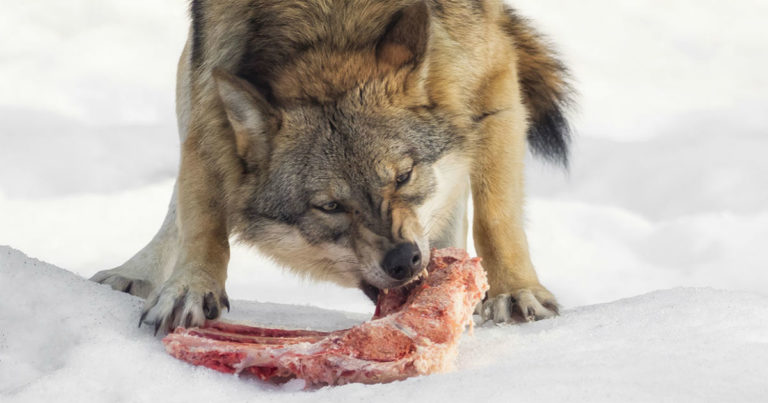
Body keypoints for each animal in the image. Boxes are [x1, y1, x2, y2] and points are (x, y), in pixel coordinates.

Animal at [91, 0, 571, 333]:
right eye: (330, 207)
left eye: (403, 176)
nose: (405, 259)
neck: (329, 25)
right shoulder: (211, 83)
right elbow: (202, 209)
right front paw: (190, 288)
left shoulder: (491, 73)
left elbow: (496, 215)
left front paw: (515, 293)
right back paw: (135, 272)